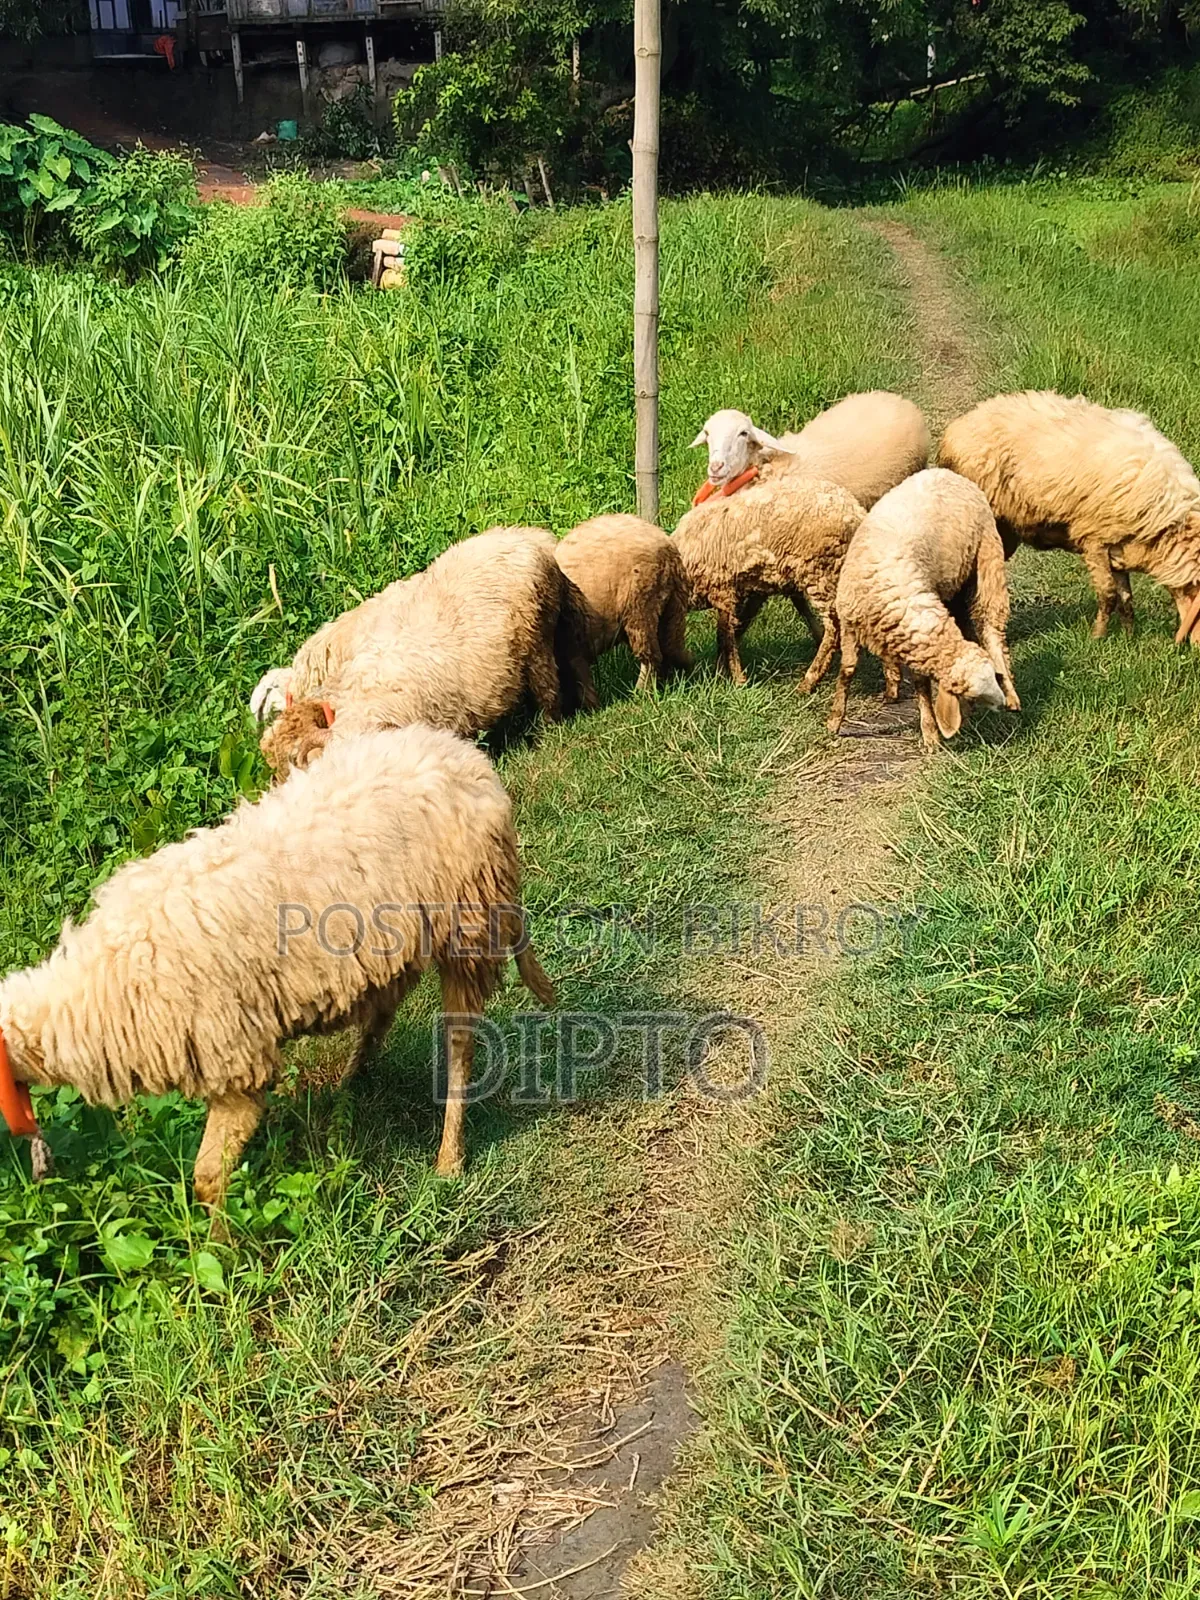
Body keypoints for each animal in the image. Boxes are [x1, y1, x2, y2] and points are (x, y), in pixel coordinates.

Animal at [0, 724, 555, 1211]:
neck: (91, 993)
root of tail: (465, 756)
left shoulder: (235, 1063)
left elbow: (207, 1177)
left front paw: (223, 1252)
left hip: (470, 924)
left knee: (460, 1045)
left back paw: (448, 1157)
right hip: (398, 942)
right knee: (385, 1009)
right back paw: (350, 1085)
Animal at [553, 514, 693, 691]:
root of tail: (667, 542)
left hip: (640, 607)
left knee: (652, 655)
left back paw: (641, 691)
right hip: (670, 609)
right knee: (669, 648)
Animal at [672, 474, 866, 689]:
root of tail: (855, 512)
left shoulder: (722, 589)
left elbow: (724, 634)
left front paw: (736, 679)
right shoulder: (749, 589)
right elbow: (738, 627)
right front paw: (721, 673)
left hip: (820, 570)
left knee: (834, 627)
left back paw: (809, 681)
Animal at [828, 467, 1020, 750]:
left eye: (992, 678)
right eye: (973, 692)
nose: (999, 704)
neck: (896, 591)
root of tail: (947, 472)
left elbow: (921, 686)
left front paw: (930, 732)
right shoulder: (850, 622)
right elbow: (847, 671)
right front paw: (834, 721)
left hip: (988, 558)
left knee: (992, 630)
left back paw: (1013, 695)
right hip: (957, 585)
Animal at [938, 391, 1200, 643]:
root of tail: (955, 430)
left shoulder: (1117, 547)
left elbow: (1126, 598)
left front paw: (1128, 638)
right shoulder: (1093, 541)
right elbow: (1108, 595)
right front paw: (1097, 638)